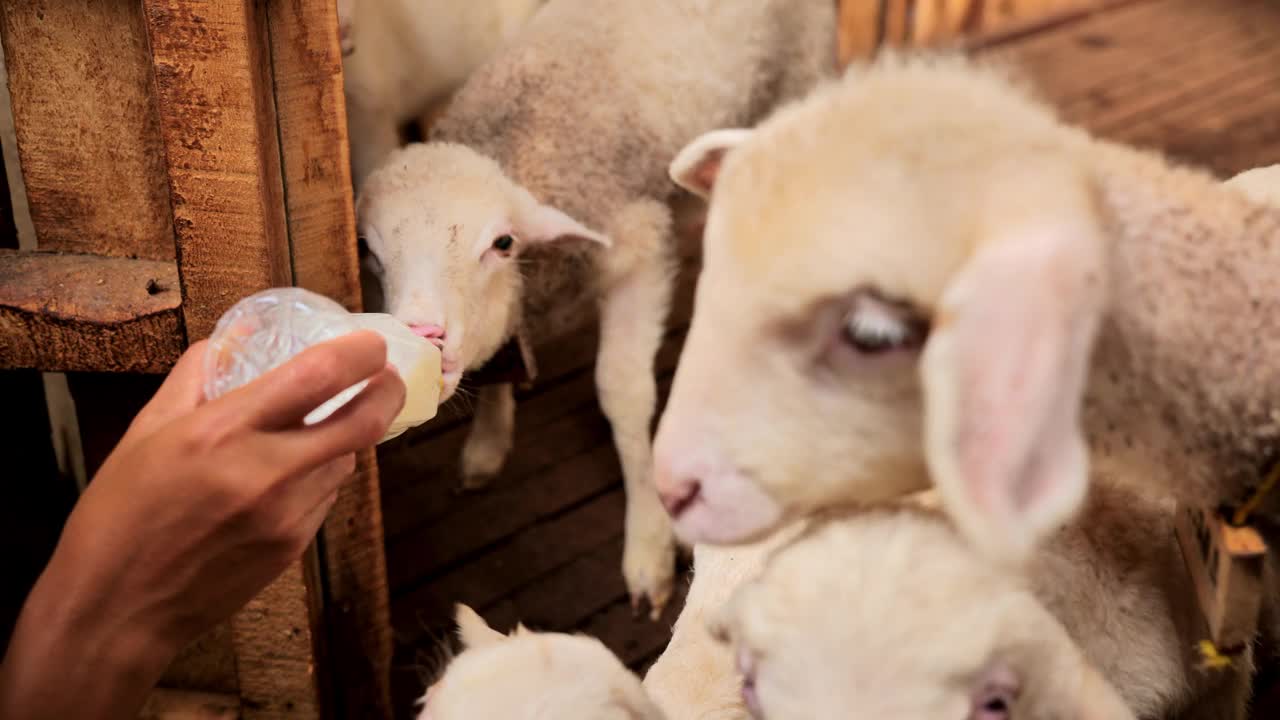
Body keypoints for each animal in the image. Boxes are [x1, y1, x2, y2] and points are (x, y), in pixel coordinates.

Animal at [358, 0, 839, 614]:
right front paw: (487, 445)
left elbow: (623, 394)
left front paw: (649, 546)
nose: (423, 334)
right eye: (370, 252)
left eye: (502, 243)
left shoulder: (639, 251)